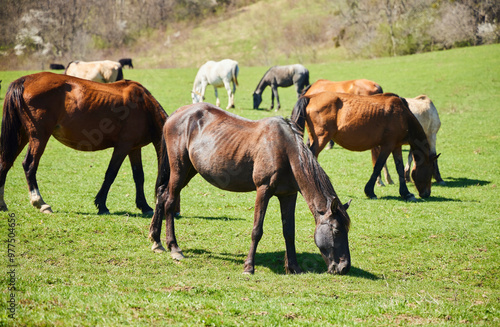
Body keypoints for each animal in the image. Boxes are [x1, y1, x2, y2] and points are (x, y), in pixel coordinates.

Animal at [0, 72, 168, 215]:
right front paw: (102, 205)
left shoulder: (134, 148)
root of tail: (25, 80)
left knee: (5, 163)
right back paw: (40, 203)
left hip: (22, 135)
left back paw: (2, 204)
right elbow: (111, 174)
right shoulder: (123, 147)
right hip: (39, 137)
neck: (144, 105)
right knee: (29, 165)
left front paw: (144, 206)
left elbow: (138, 176)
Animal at [148, 102, 352, 274]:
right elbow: (257, 230)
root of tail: (177, 113)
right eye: (336, 230)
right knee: (170, 201)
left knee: (162, 194)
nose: (344, 267)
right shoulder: (263, 190)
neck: (285, 150)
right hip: (179, 169)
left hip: (190, 169)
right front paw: (249, 267)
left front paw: (294, 267)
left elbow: (289, 231)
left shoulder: (288, 195)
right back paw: (174, 247)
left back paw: (156, 240)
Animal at [292, 91, 436, 201]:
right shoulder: (387, 146)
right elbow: (378, 166)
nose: (427, 193)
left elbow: (399, 168)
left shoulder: (396, 146)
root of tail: (311, 97)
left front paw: (406, 193)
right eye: (430, 171)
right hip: (321, 139)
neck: (403, 115)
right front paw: (370, 191)